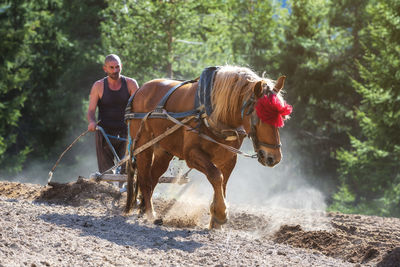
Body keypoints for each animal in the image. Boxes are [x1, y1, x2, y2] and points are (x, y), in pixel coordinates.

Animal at [123, 65, 290, 230]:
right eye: (261, 117)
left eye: (281, 116)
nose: (273, 157)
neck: (215, 113)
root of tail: (140, 90)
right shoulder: (192, 155)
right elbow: (216, 176)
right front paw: (221, 214)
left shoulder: (229, 158)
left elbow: (223, 183)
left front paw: (215, 219)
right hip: (143, 145)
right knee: (144, 179)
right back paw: (150, 213)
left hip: (164, 152)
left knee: (153, 177)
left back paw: (143, 209)